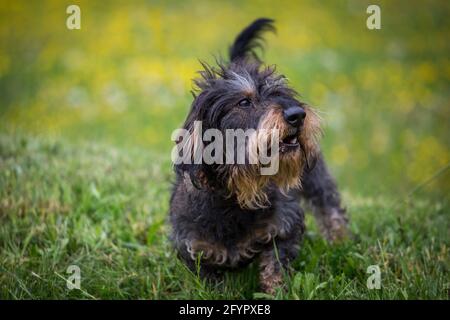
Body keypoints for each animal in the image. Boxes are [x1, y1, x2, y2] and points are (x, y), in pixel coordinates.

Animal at [169, 16, 348, 292]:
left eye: (282, 94)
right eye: (244, 102)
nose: (298, 114)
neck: (239, 196)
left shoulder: (284, 225)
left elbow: (275, 265)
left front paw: (277, 292)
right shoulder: (193, 246)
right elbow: (208, 278)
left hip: (315, 177)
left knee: (329, 206)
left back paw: (341, 241)